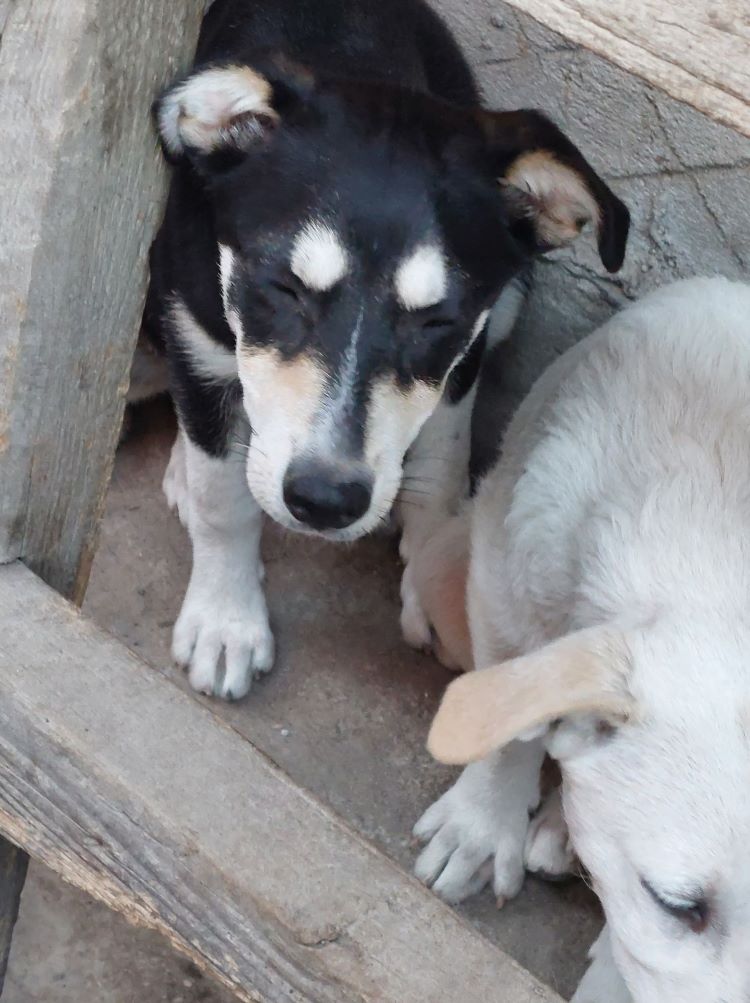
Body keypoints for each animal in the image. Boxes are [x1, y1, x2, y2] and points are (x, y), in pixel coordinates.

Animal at [145, 0, 625, 698]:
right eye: (282, 288)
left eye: (437, 322)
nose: (325, 502)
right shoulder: (194, 329)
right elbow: (222, 499)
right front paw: (225, 620)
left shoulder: (465, 352)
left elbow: (443, 462)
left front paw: (435, 573)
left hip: (513, 298)